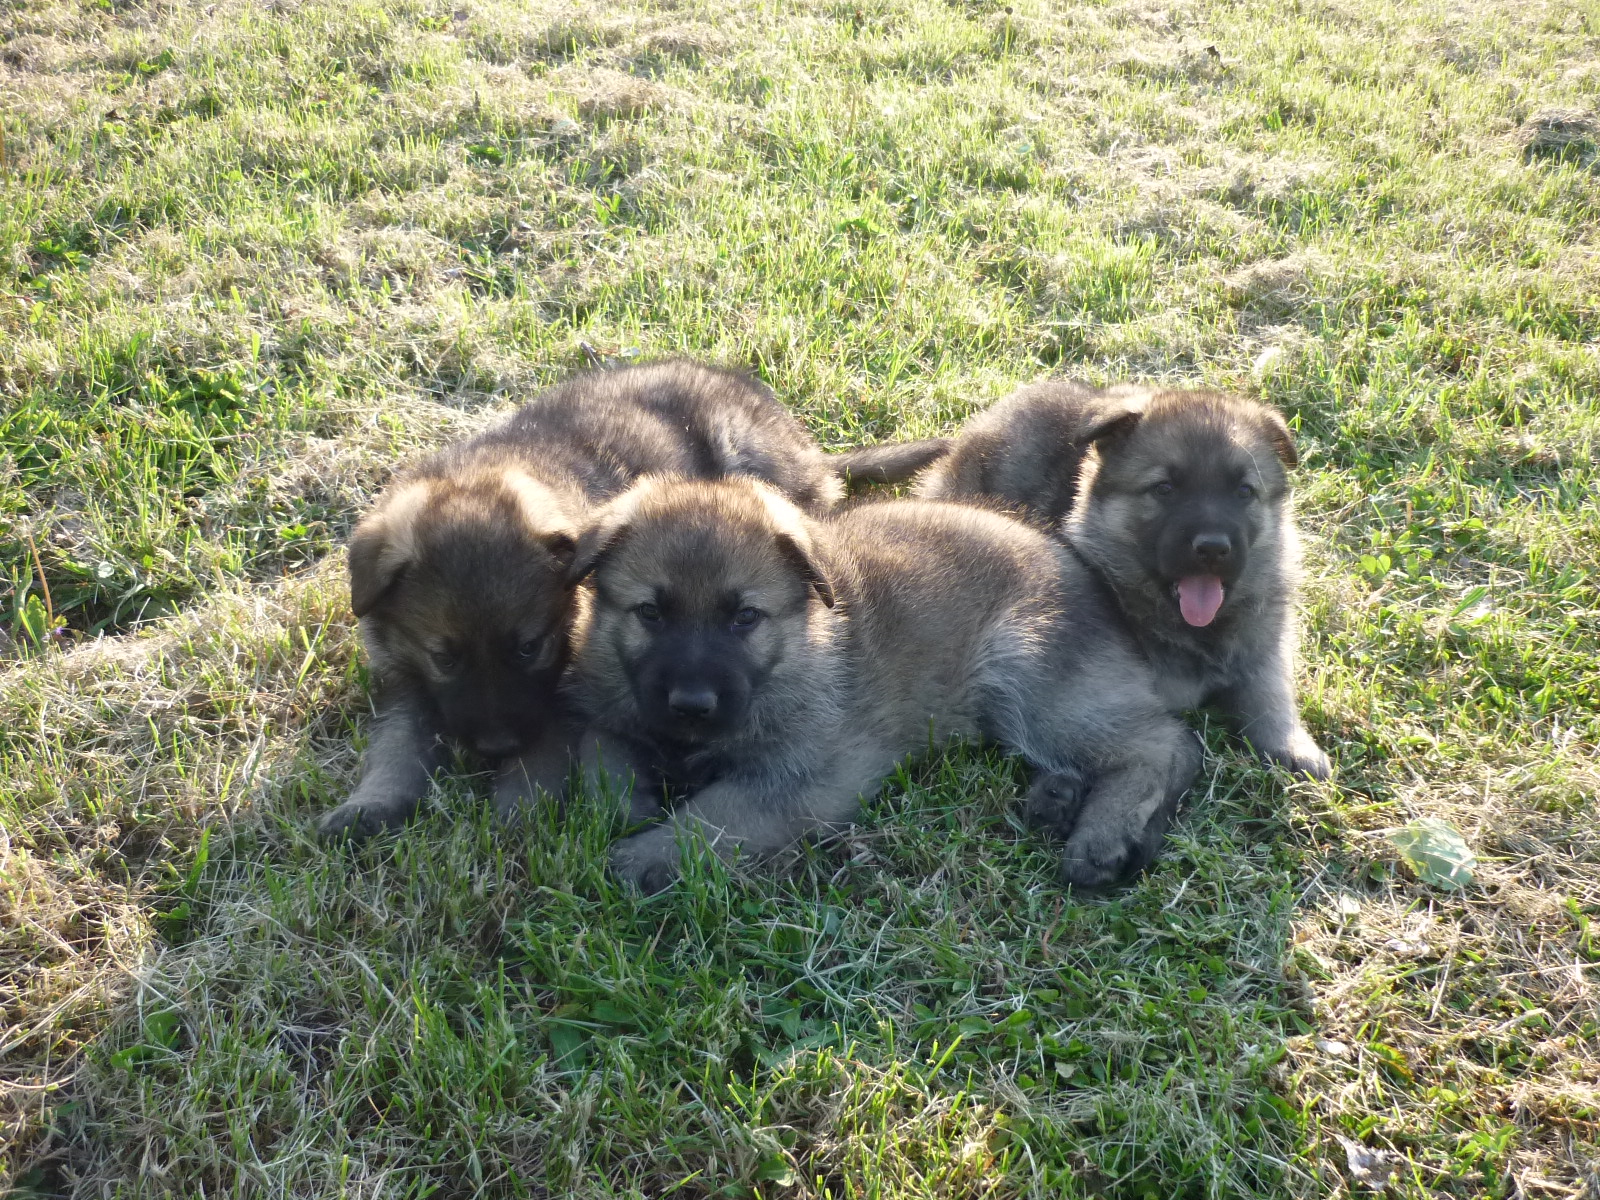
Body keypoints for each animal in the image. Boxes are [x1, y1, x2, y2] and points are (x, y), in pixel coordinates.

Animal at [317, 360, 950, 840]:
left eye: (530, 648)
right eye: (443, 657)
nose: (495, 747)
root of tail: (809, 451)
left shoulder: (566, 694)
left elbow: (542, 755)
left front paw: (519, 810)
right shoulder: (404, 677)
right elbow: (397, 745)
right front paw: (369, 805)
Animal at [562, 475, 1201, 893]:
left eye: (744, 618)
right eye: (651, 614)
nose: (692, 705)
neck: (797, 653)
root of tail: (1095, 581)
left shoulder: (811, 776)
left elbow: (719, 813)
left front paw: (649, 855)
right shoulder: (612, 710)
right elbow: (600, 759)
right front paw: (635, 803)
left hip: (1026, 669)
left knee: (1164, 745)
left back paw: (1102, 835)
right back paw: (1058, 798)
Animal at [924, 380, 1330, 779]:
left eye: (1244, 491)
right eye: (1164, 489)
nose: (1213, 548)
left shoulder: (1264, 646)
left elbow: (1269, 692)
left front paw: (1293, 746)